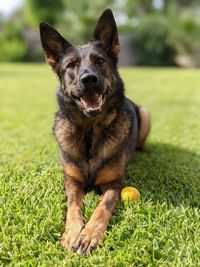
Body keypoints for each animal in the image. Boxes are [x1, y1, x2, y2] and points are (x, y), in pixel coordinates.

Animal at [39, 8, 150, 255]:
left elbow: (102, 207)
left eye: (100, 61)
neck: (90, 132)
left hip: (146, 113)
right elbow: (73, 206)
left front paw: (90, 235)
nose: (89, 79)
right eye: (71, 65)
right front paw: (72, 232)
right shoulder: (71, 181)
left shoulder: (114, 184)